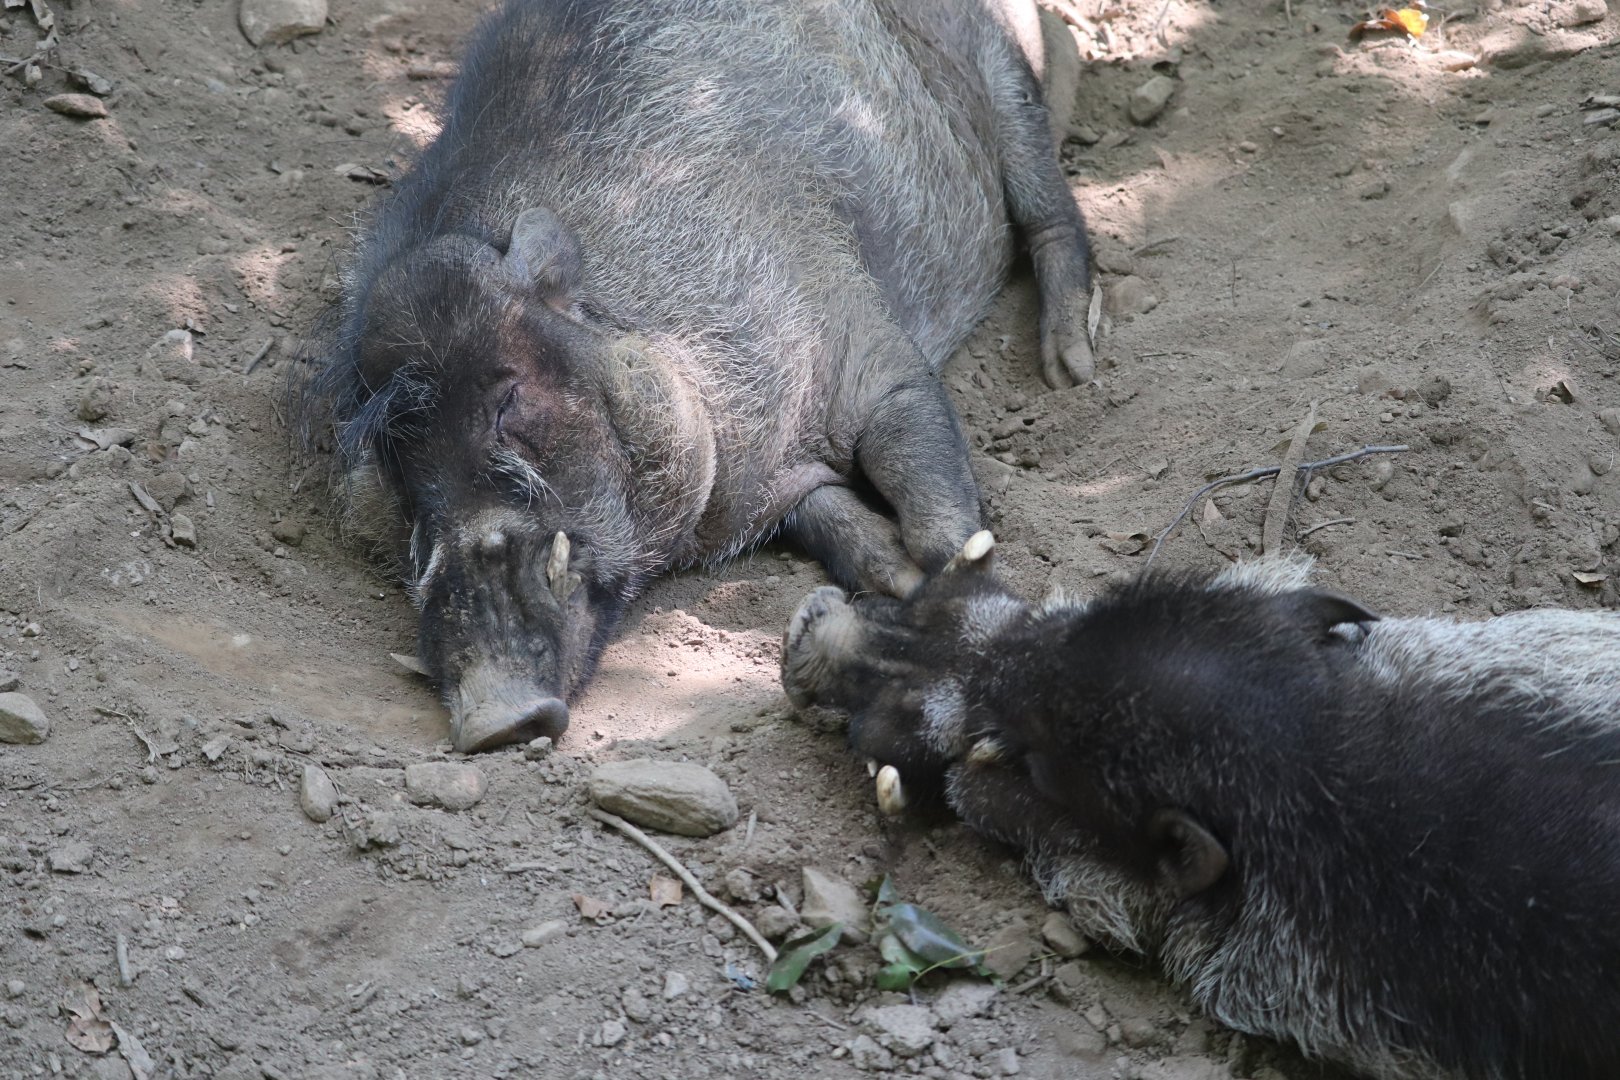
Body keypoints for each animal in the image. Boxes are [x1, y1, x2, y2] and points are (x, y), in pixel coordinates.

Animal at [295, 0, 1095, 752]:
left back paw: (1072, 368)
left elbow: (937, 523)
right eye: (397, 471)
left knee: (1046, 199)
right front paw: (895, 582)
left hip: (996, 69)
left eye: (509, 401)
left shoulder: (870, 355)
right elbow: (844, 527)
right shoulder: (778, 486)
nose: (493, 721)